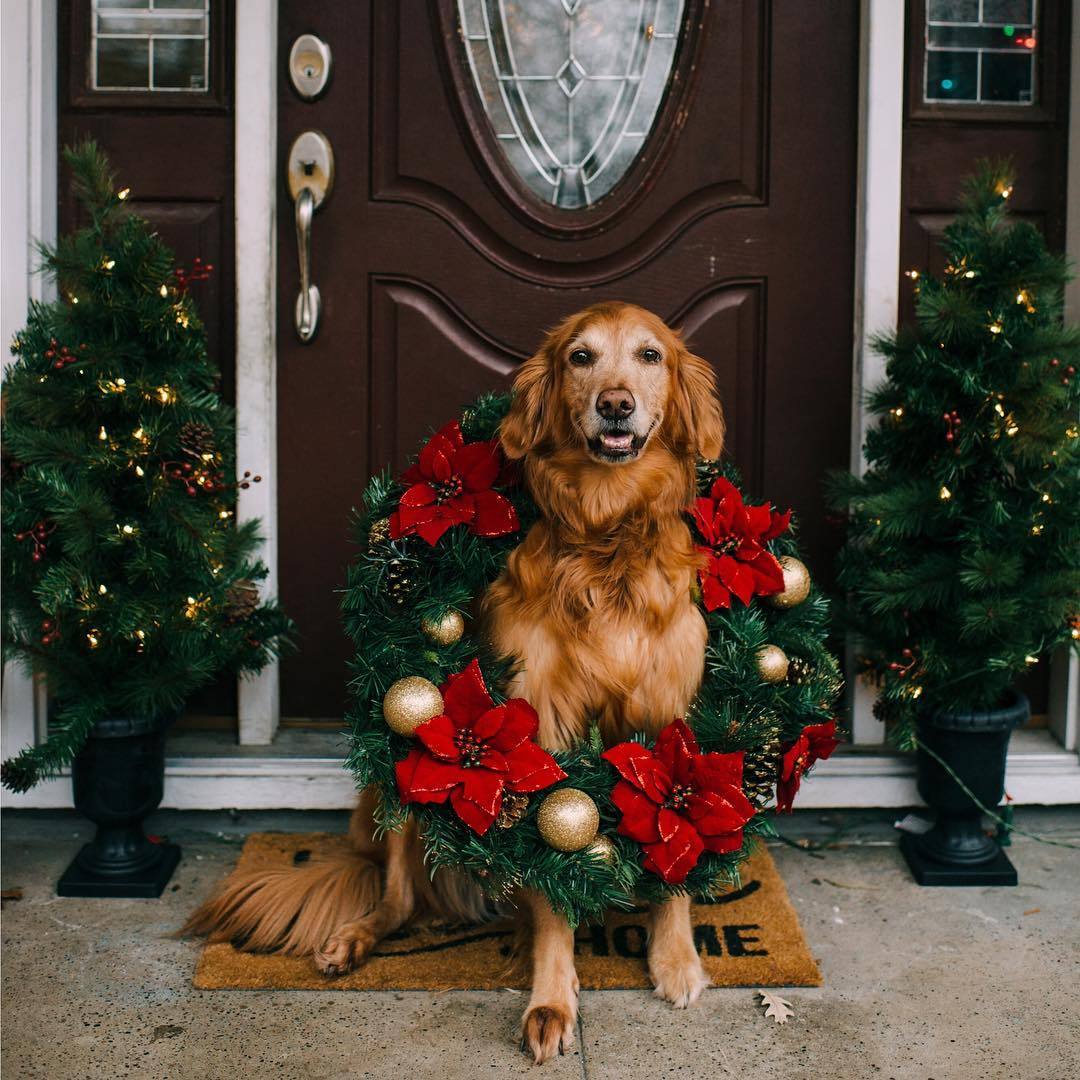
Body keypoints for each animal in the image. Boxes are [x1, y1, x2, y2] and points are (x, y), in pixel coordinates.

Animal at [185, 302, 725, 1062]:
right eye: (581, 357)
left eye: (651, 355)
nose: (615, 405)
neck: (606, 535)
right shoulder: (541, 721)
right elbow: (554, 868)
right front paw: (551, 999)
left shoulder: (671, 707)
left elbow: (678, 848)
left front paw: (676, 959)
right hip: (400, 784)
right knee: (396, 900)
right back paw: (355, 939)